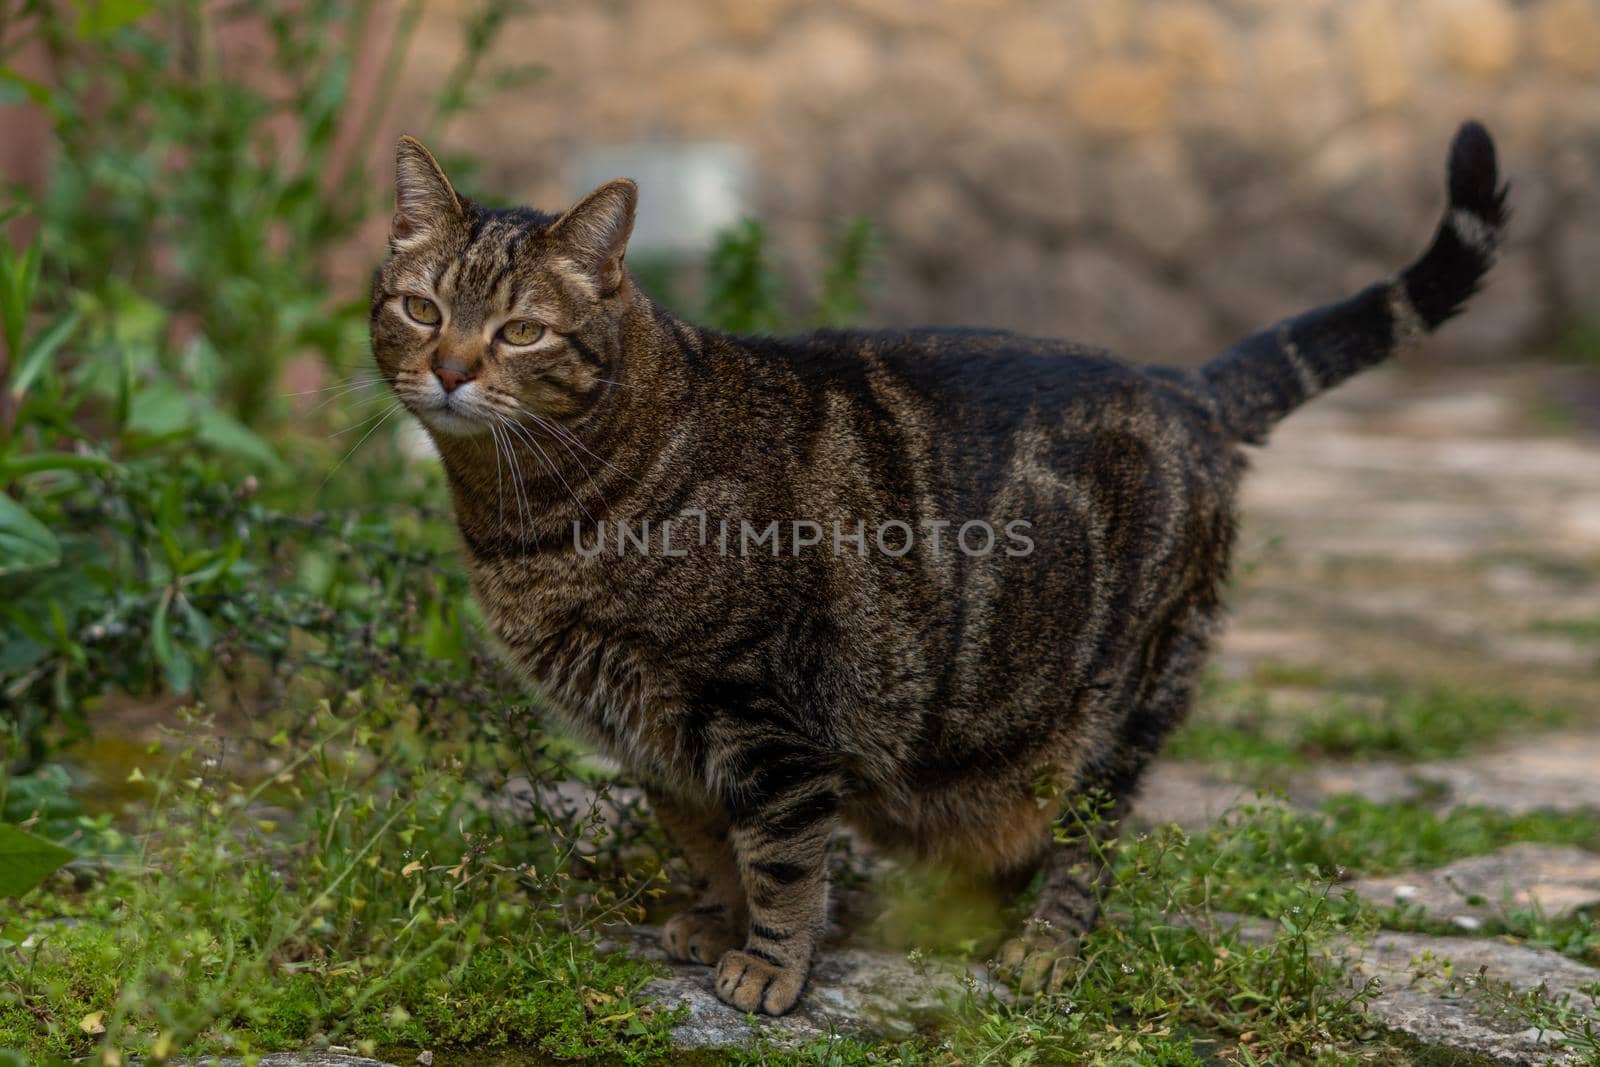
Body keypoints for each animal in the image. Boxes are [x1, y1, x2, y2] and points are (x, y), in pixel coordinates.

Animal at [368, 120, 1504, 1017]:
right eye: (421, 310)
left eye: (521, 330)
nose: (451, 368)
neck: (532, 519)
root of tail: (1182, 381)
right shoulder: (654, 732)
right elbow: (704, 837)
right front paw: (713, 920)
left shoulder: (766, 714)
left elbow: (781, 858)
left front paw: (769, 966)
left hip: (1124, 704)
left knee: (1090, 842)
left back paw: (1043, 948)